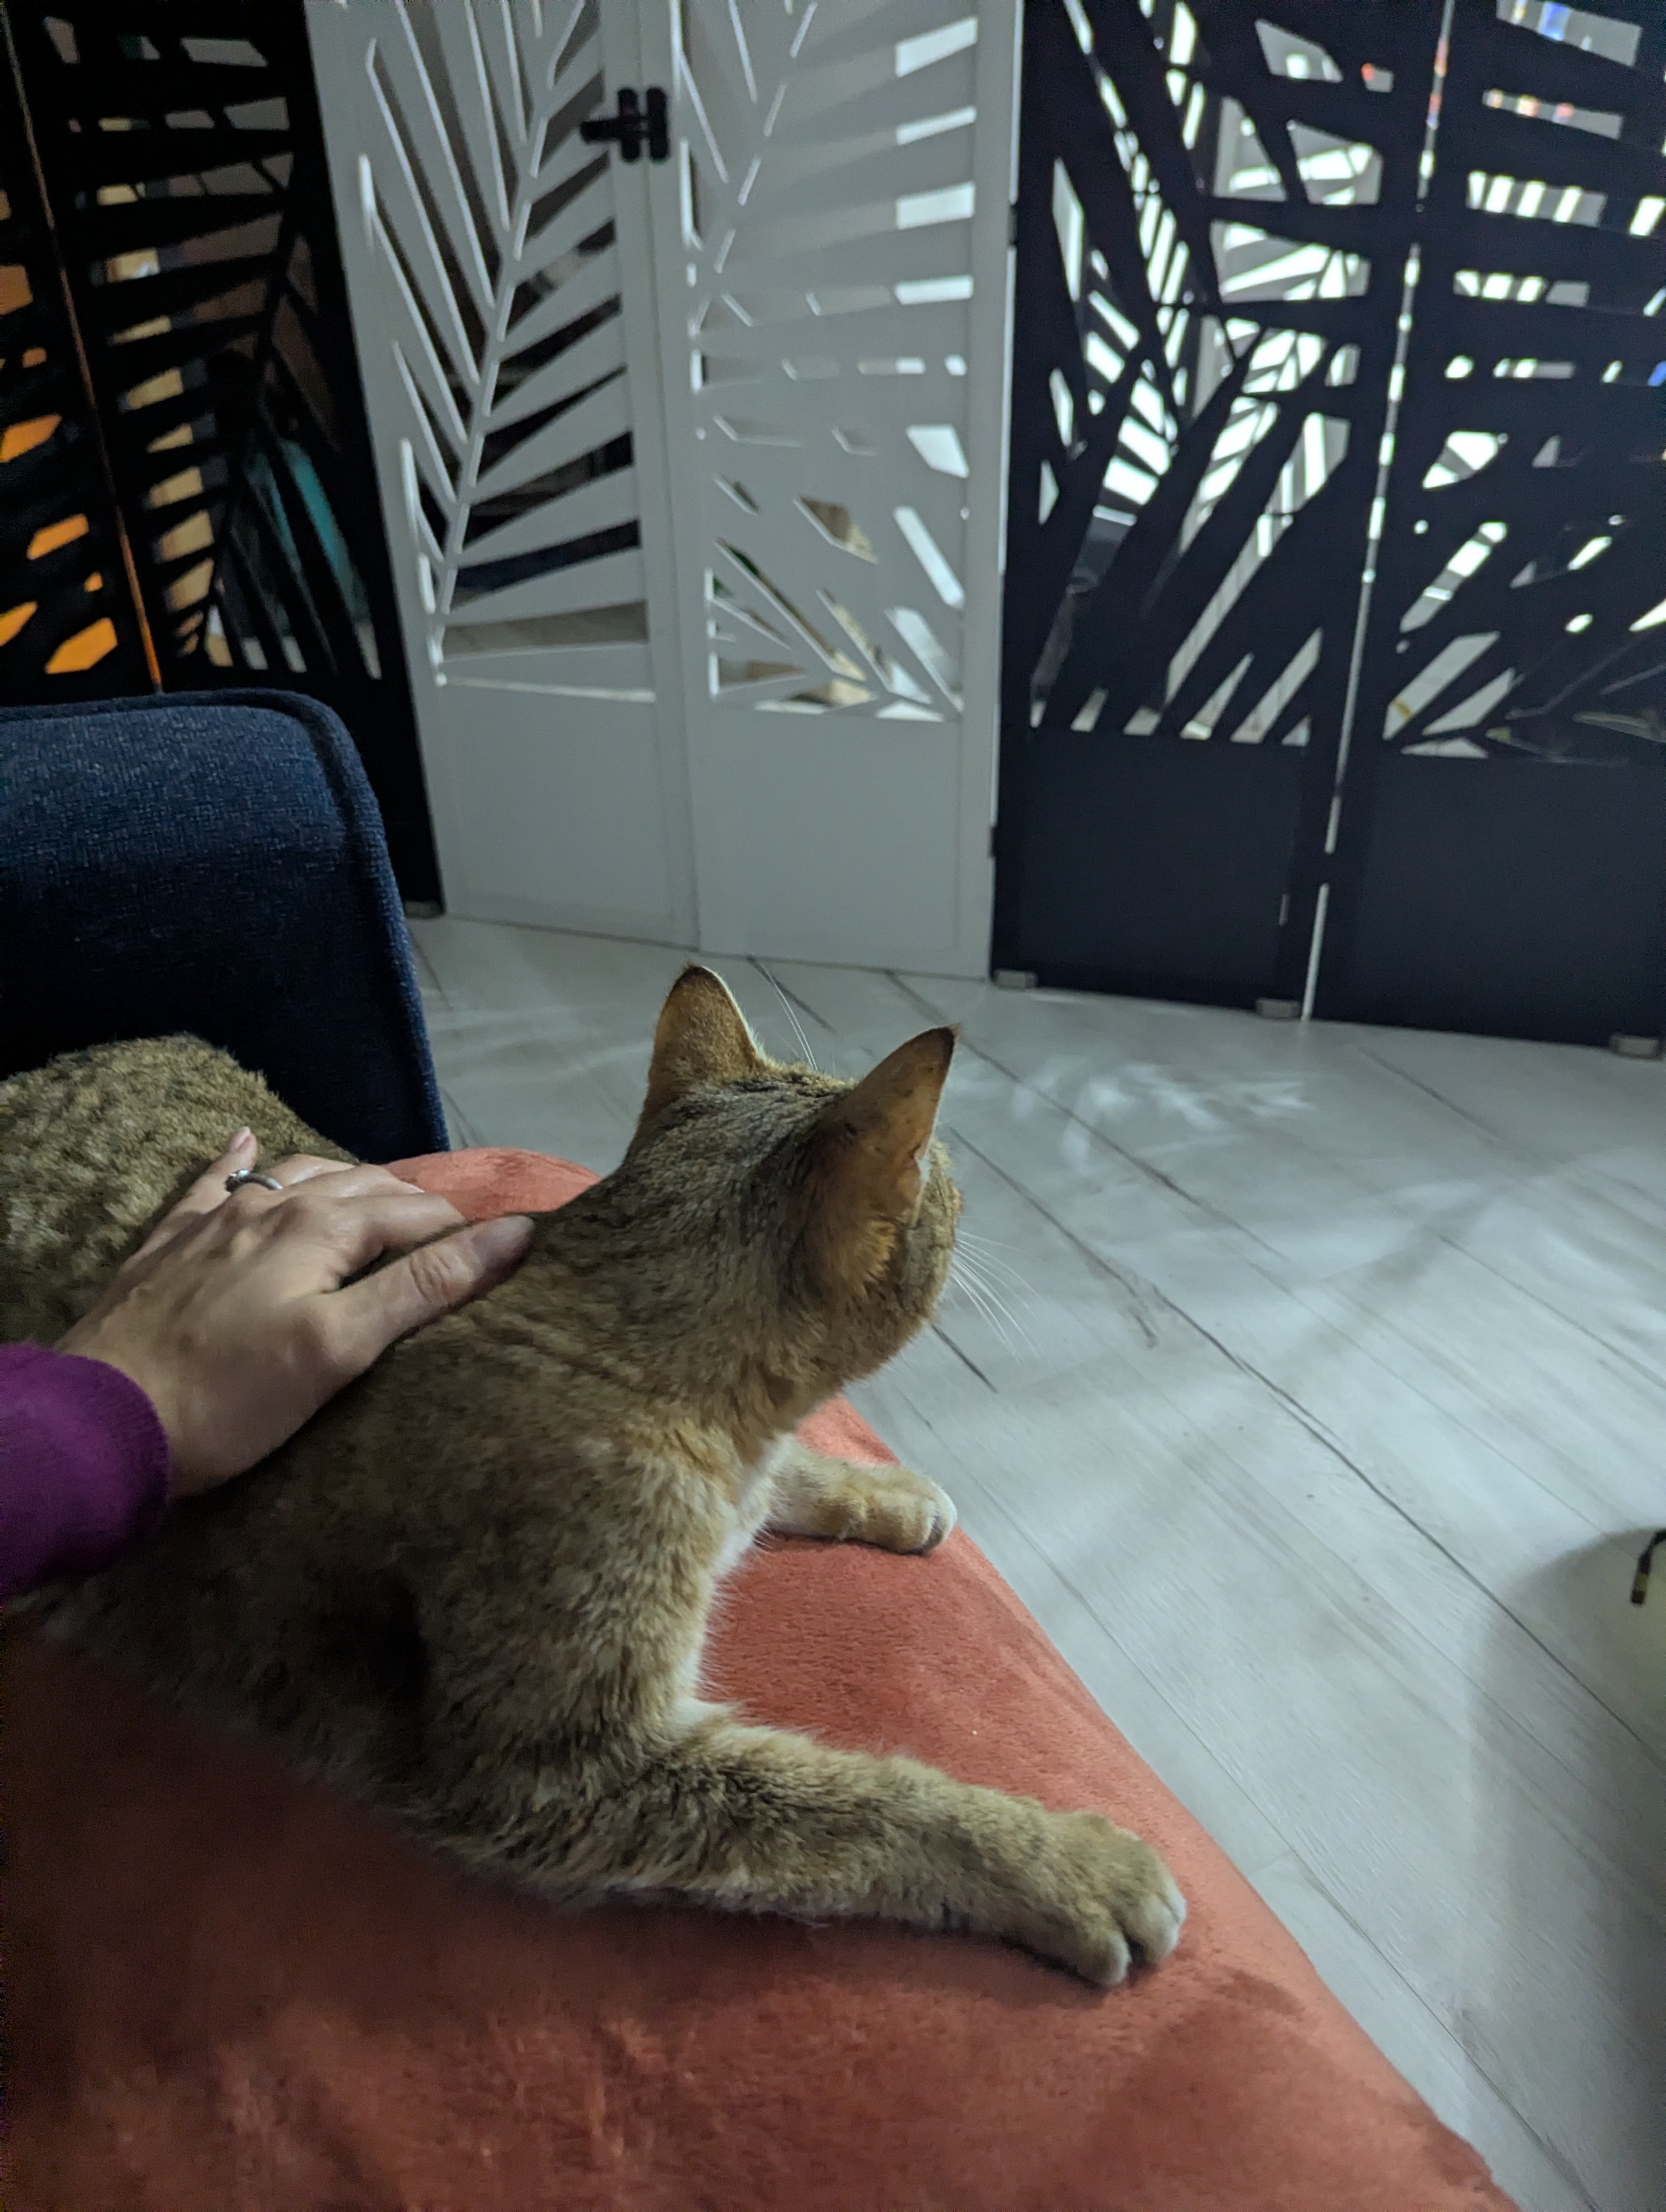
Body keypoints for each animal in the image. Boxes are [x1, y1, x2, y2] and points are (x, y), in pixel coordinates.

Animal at [1, 966, 1184, 1984]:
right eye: (939, 1171)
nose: (966, 1185)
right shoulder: (568, 1768)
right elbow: (864, 1809)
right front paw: (1061, 1866)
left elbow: (782, 1483)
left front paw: (883, 1493)